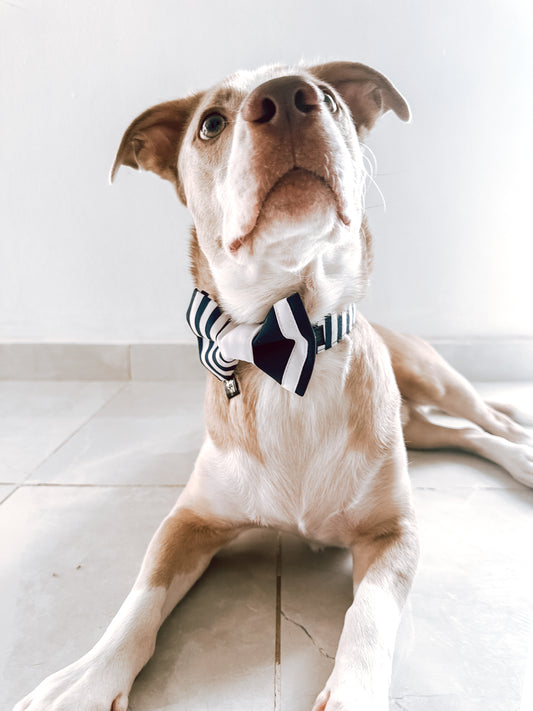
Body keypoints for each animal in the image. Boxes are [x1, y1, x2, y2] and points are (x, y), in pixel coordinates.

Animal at [15, 59, 532, 711]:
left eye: (332, 98)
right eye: (211, 123)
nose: (289, 97)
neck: (288, 338)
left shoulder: (394, 533)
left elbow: (370, 613)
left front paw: (354, 693)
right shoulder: (188, 522)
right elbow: (140, 597)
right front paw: (86, 677)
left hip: (432, 378)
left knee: (488, 420)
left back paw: (524, 454)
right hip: (414, 426)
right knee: (462, 433)